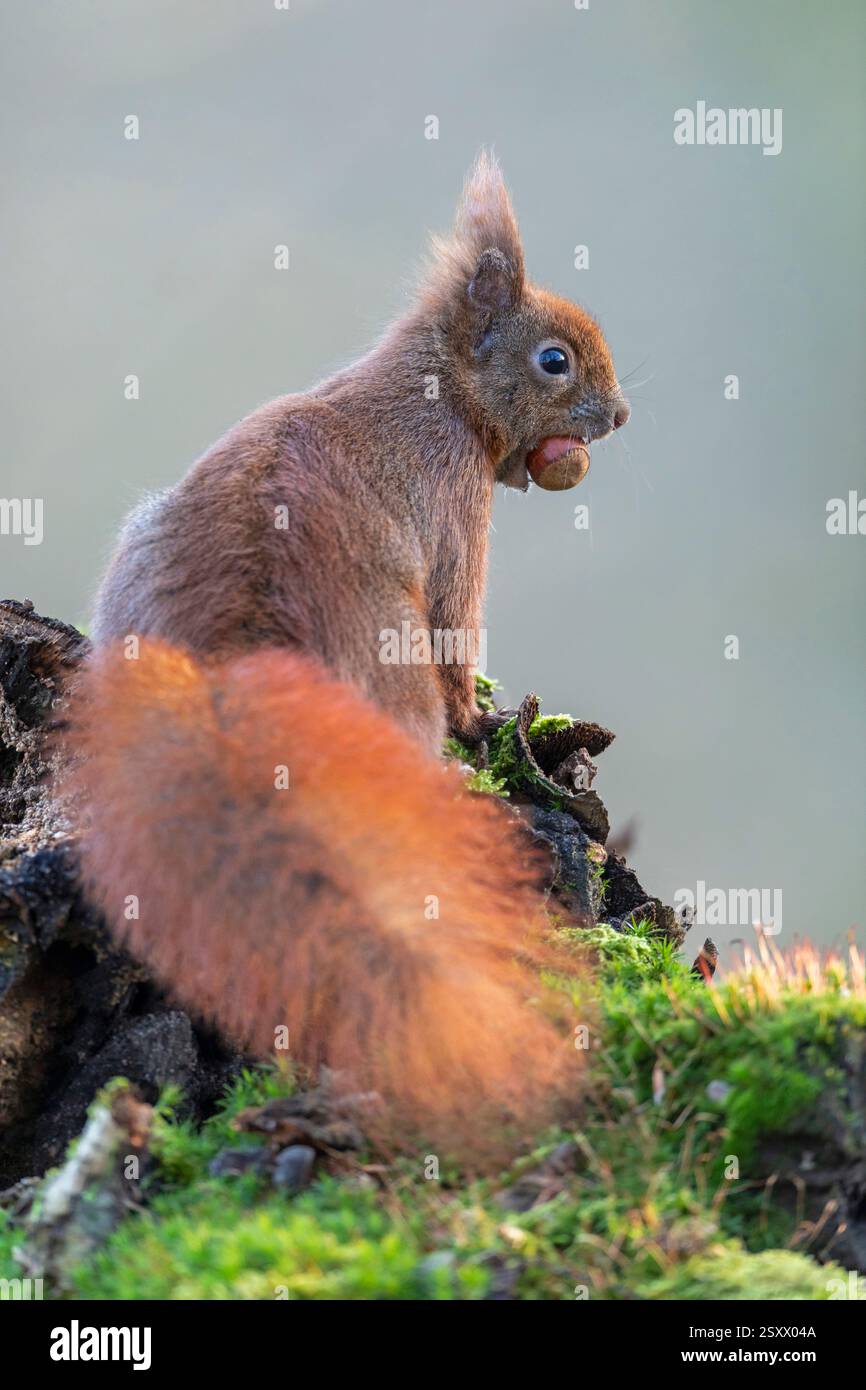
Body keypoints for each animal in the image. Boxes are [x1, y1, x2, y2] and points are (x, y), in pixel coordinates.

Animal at [63, 153, 630, 1159]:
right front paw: (490, 725)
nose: (622, 414)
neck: (436, 387)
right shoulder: (454, 520)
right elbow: (458, 630)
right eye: (553, 360)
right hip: (392, 680)